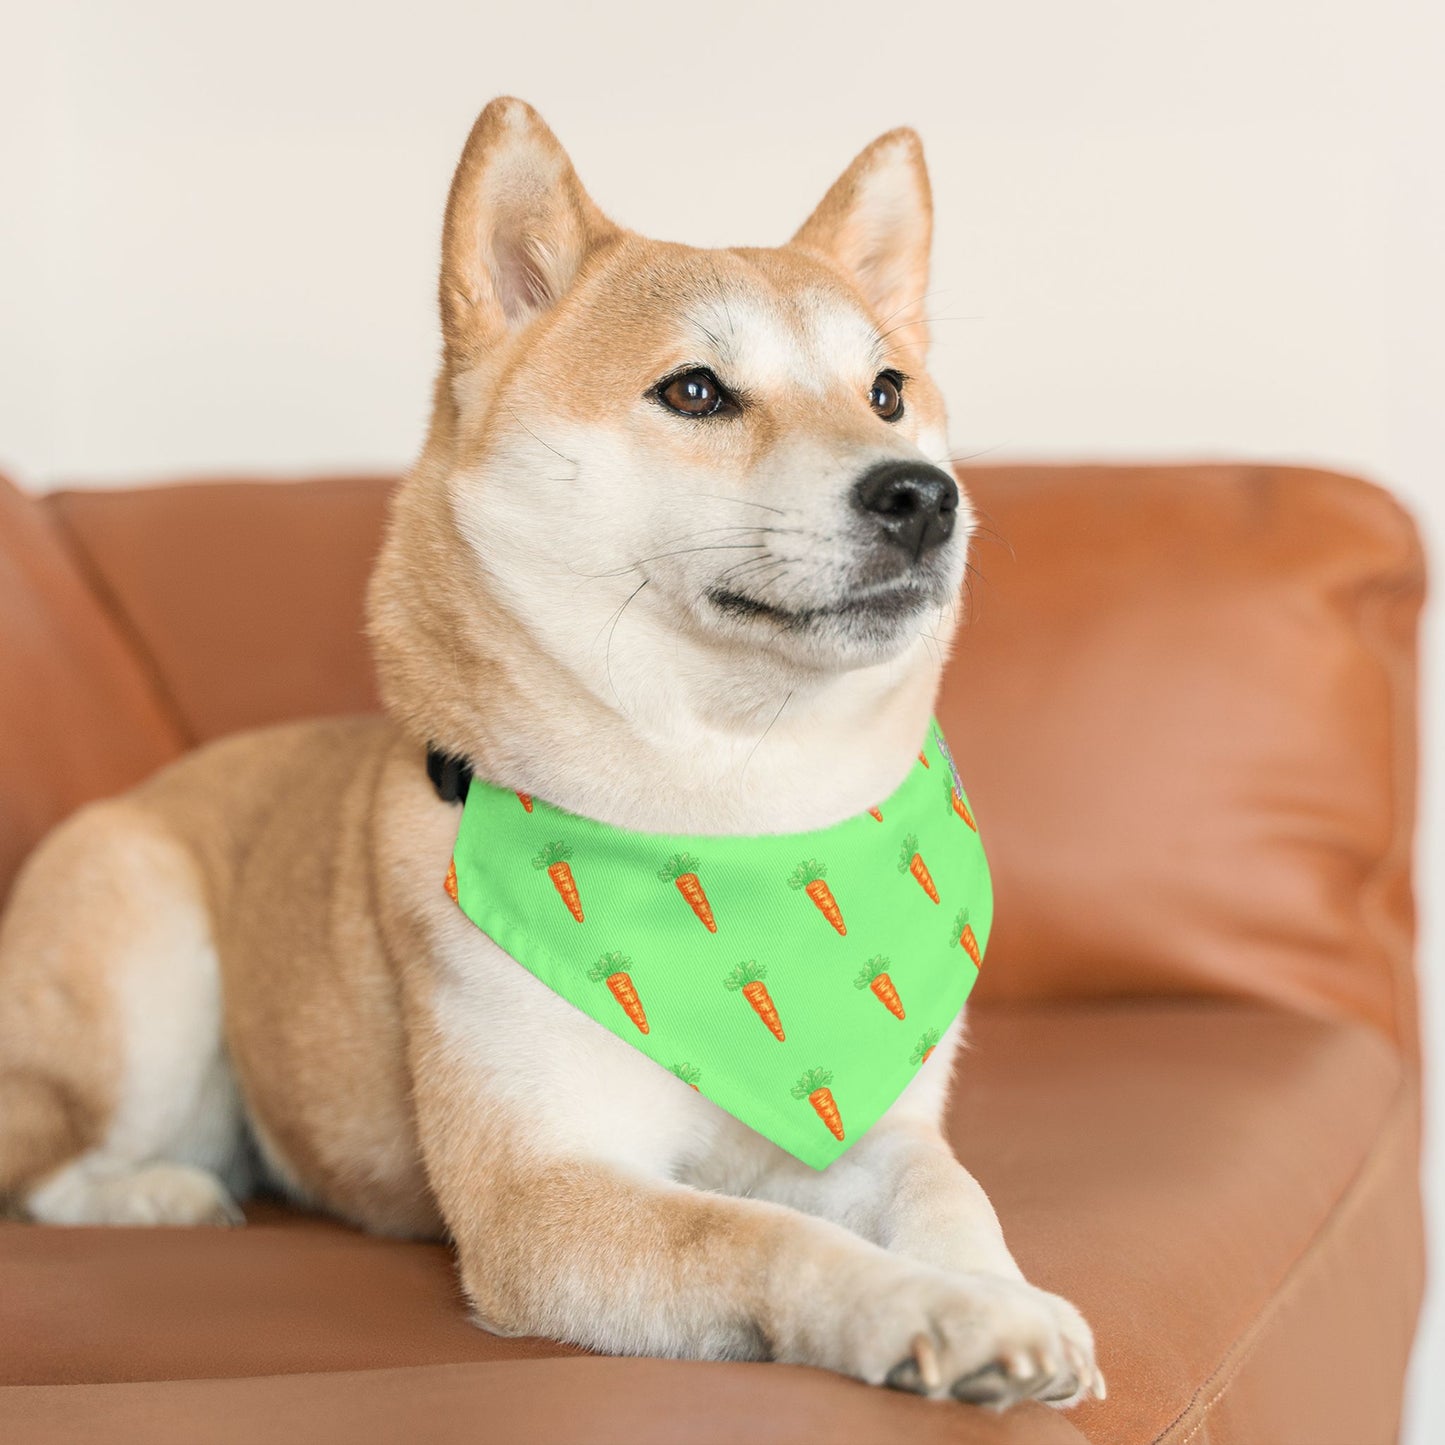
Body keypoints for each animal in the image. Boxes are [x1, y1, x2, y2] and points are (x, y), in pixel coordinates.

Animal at [0, 96, 1098, 1404]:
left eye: (886, 390)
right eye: (694, 390)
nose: (923, 494)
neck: (731, 818)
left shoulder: (868, 1115)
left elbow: (947, 1189)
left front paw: (1002, 1292)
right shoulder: (541, 1193)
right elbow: (765, 1235)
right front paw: (927, 1307)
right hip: (145, 963)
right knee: (48, 1164)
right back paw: (162, 1192)